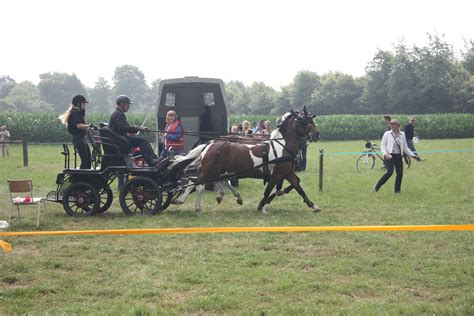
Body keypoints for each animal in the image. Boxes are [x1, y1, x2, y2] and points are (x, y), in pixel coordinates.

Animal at [180, 107, 320, 214]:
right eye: (306, 121)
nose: (317, 135)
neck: (282, 147)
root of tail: (210, 144)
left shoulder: (288, 173)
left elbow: (299, 187)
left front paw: (312, 205)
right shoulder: (277, 175)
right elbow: (268, 190)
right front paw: (262, 206)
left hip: (218, 171)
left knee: (205, 182)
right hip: (210, 171)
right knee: (197, 184)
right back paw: (185, 202)